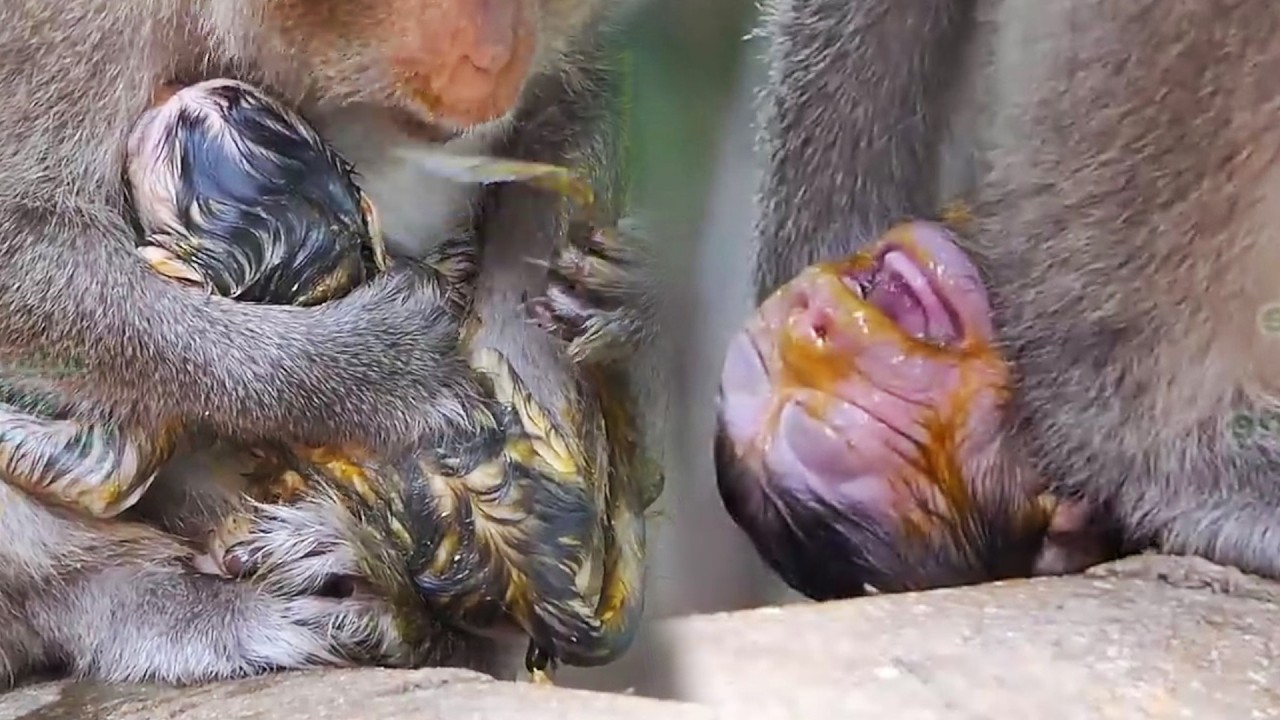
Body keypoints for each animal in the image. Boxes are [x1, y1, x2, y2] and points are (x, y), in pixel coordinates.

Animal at [0, 0, 664, 686]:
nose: (498, 57)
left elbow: (570, 96)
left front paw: (551, 339)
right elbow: (22, 241)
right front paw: (384, 369)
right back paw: (150, 603)